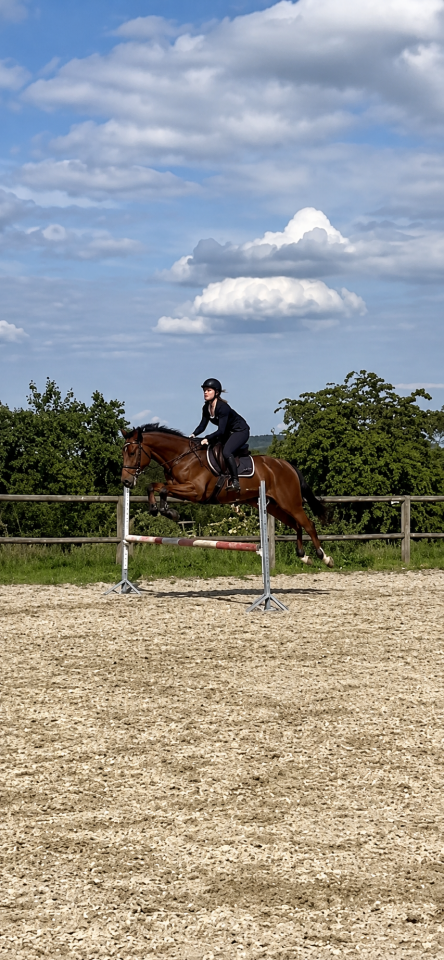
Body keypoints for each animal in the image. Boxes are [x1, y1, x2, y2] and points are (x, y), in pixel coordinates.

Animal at [121, 424, 334, 567]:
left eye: (132, 452)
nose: (126, 482)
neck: (182, 457)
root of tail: (287, 465)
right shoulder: (179, 487)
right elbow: (153, 486)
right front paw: (156, 509)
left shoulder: (196, 491)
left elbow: (163, 490)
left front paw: (168, 512)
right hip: (273, 505)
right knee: (296, 525)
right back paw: (303, 556)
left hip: (289, 502)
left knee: (308, 524)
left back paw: (324, 557)